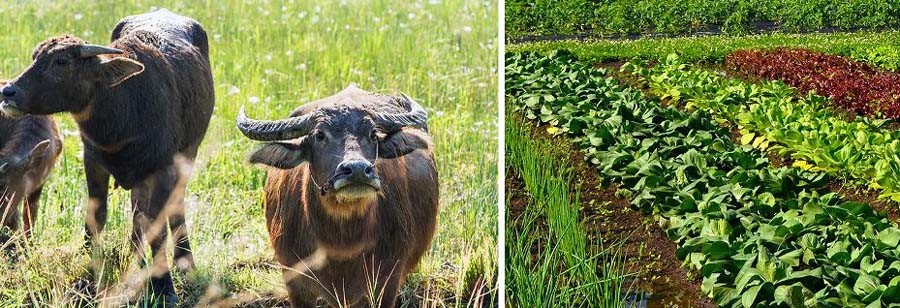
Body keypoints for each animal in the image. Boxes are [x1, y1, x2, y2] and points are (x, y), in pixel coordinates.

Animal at [0, 9, 214, 304]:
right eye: (35, 56)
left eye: (61, 61)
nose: (8, 92)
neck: (123, 110)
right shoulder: (94, 163)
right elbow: (96, 218)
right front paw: (88, 275)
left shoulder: (162, 169)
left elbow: (158, 227)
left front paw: (165, 288)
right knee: (138, 213)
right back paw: (136, 260)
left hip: (188, 156)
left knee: (173, 209)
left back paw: (184, 263)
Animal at [237, 85, 438, 308]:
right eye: (319, 135)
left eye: (373, 134)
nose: (358, 170)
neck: (342, 241)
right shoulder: (295, 282)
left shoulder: (387, 282)